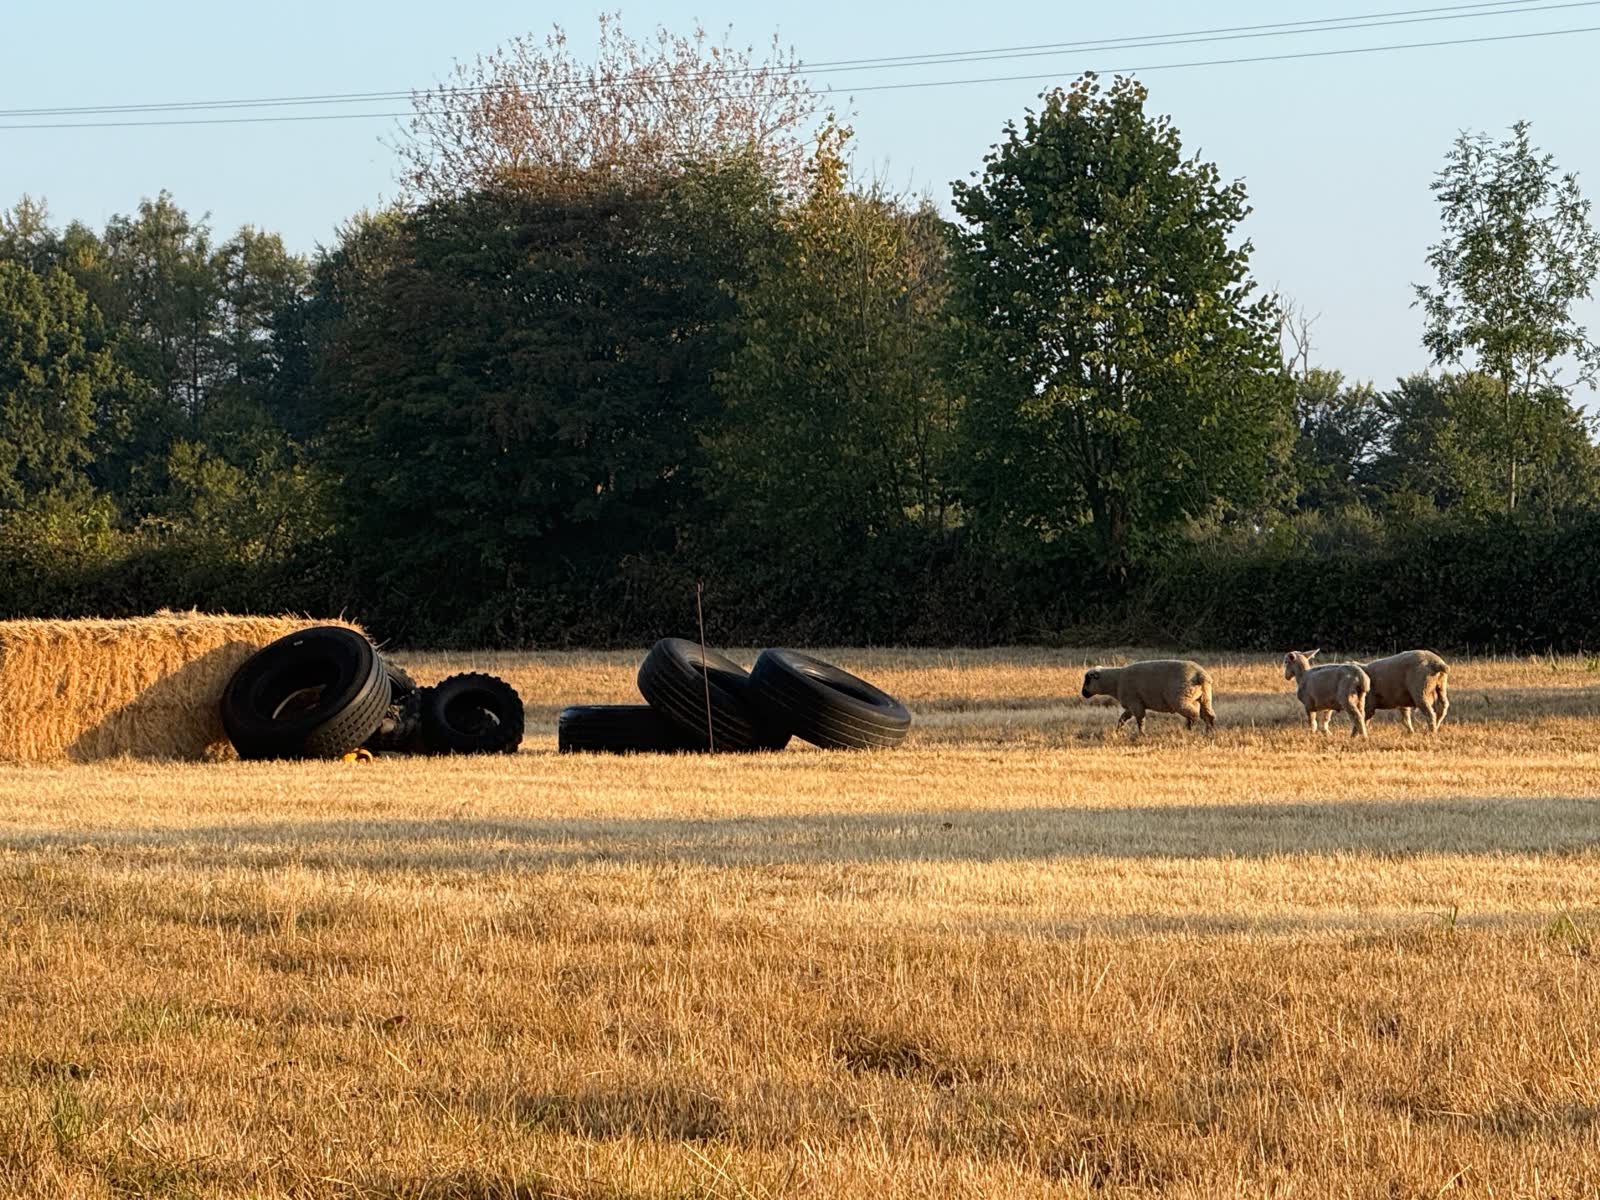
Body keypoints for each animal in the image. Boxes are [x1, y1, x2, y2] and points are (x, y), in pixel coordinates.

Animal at [1080, 659, 1216, 735]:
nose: (1083, 693)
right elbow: (1122, 719)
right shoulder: (1131, 705)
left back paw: (1189, 730)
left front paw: (1142, 735)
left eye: (1088, 680)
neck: (1116, 681)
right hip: (1204, 697)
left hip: (1180, 698)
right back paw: (1209, 733)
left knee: (1193, 714)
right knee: (1208, 716)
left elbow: (1140, 720)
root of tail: (1201, 675)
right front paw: (1118, 732)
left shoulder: (1135, 703)